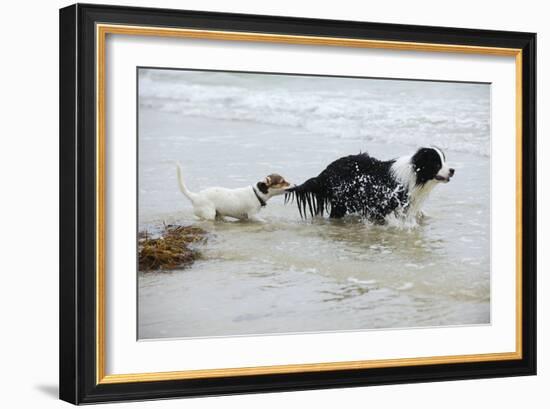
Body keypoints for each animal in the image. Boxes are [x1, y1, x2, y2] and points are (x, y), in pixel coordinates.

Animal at [286, 147, 454, 223]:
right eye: (437, 163)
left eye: (444, 160)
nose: (452, 170)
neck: (415, 174)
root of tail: (326, 172)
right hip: (341, 201)